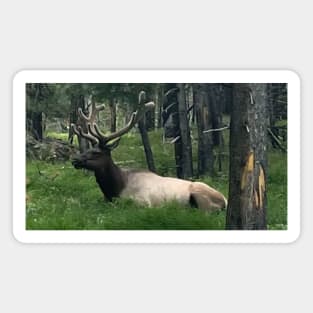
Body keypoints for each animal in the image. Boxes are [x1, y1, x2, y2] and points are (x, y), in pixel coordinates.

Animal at [71, 91, 227, 211]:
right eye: (89, 148)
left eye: (96, 153)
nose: (75, 159)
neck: (114, 189)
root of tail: (225, 201)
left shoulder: (142, 202)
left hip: (201, 196)